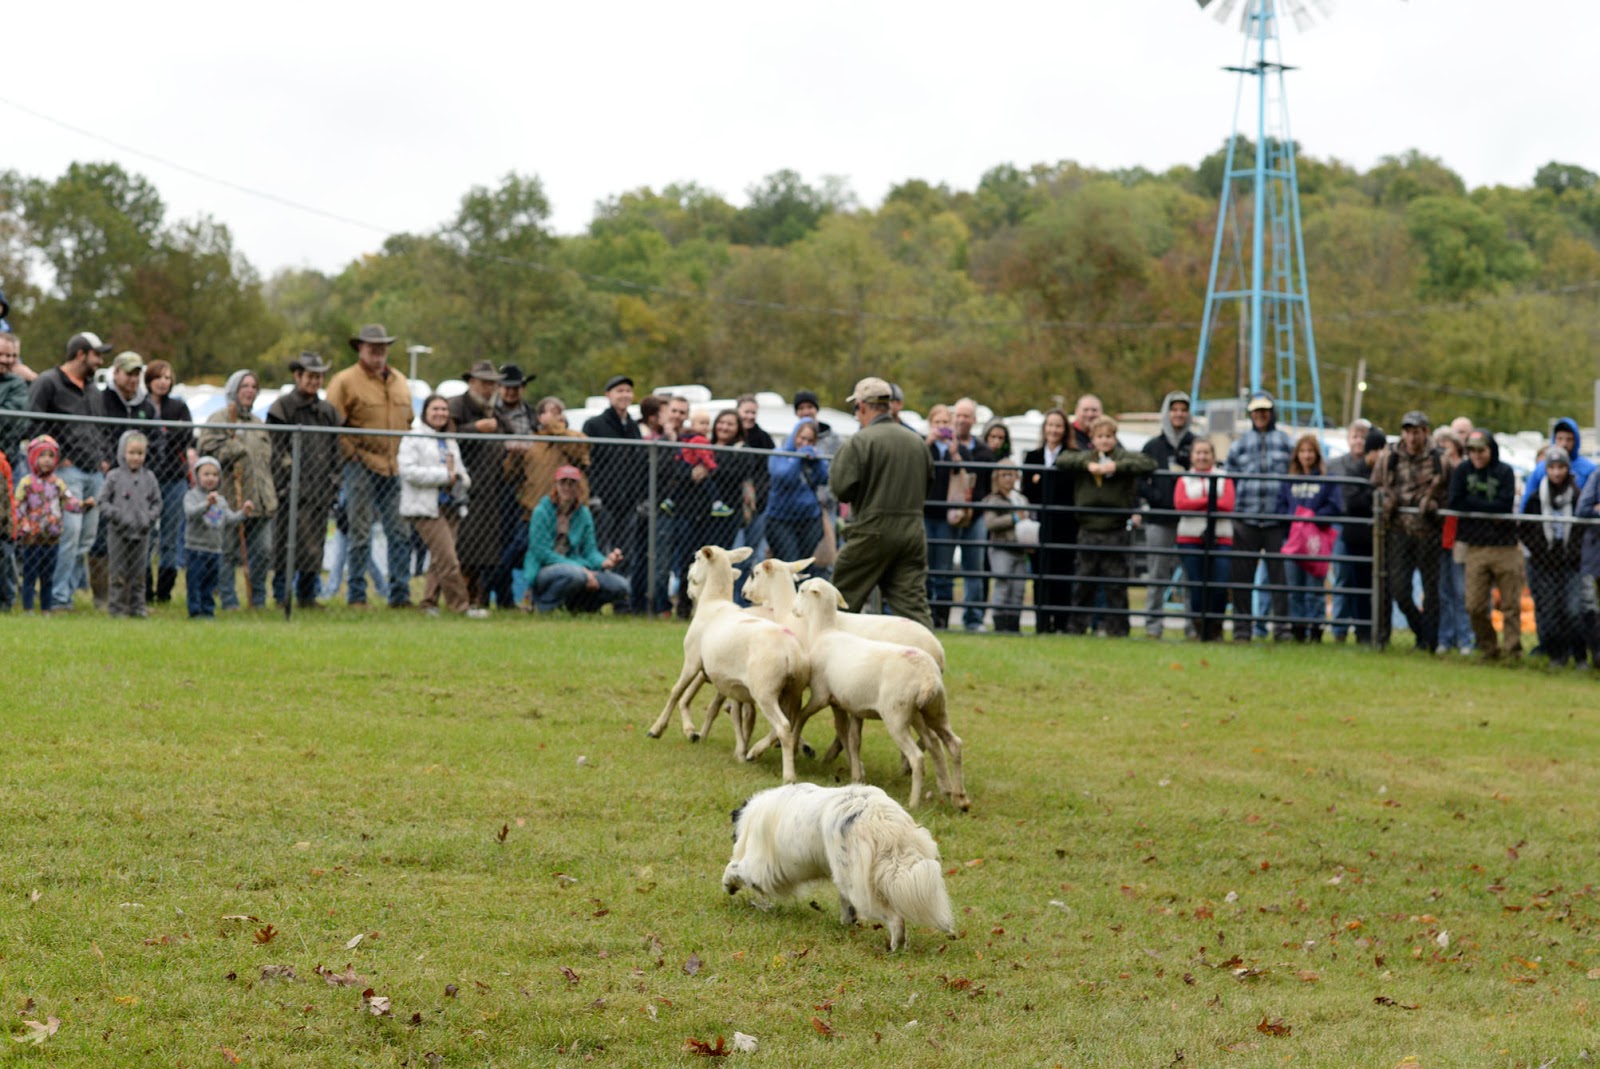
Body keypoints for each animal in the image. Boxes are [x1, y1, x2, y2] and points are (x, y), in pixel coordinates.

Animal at [791, 578, 970, 811]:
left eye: (802, 590)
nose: (793, 609)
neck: (824, 632)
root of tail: (928, 677)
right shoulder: (855, 707)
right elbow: (853, 740)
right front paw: (857, 776)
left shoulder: (821, 695)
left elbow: (803, 715)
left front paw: (795, 738)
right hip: (933, 710)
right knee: (950, 743)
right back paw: (959, 797)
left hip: (896, 716)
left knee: (917, 756)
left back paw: (914, 802)